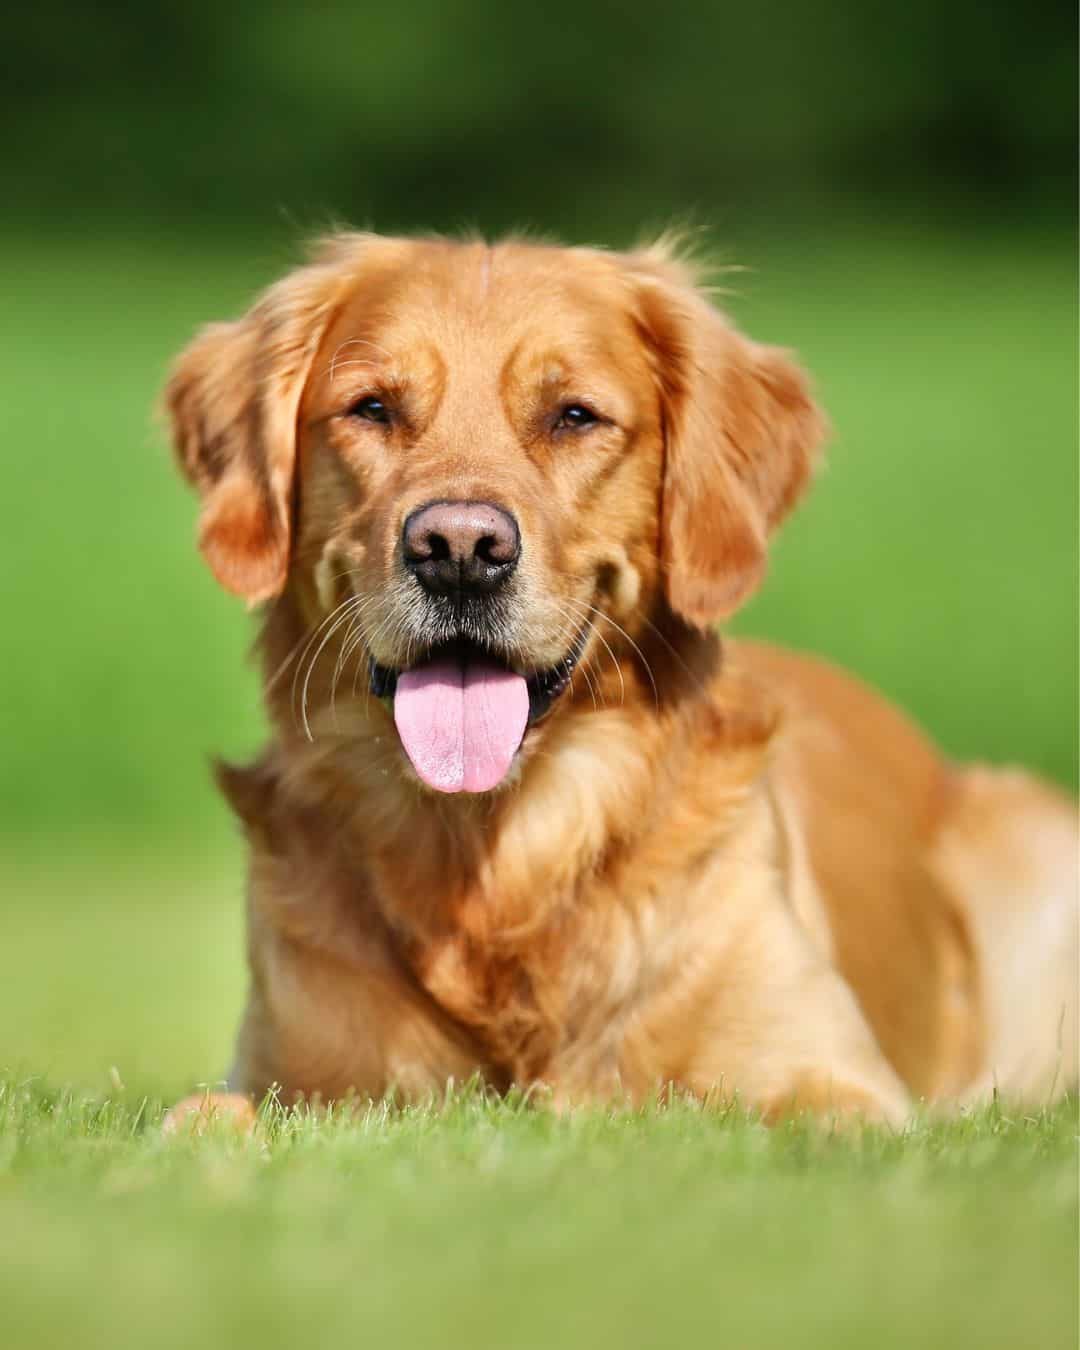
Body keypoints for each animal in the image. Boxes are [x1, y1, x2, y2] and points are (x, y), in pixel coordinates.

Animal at [157, 234, 1069, 1128]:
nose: (459, 550)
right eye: (373, 408)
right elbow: (207, 1118)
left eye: (574, 416)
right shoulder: (286, 1073)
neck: (496, 856)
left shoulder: (834, 1080)